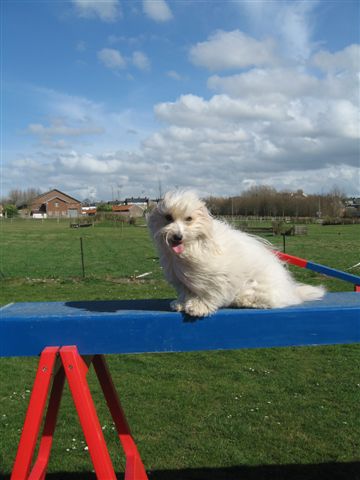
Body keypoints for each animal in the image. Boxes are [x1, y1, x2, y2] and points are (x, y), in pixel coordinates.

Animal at [149, 189, 326, 316]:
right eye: (168, 217)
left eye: (189, 219)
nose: (177, 236)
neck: (193, 246)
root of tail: (291, 291)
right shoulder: (181, 279)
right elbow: (185, 292)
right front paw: (181, 303)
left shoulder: (216, 277)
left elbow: (208, 293)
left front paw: (199, 307)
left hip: (256, 287)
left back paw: (244, 301)